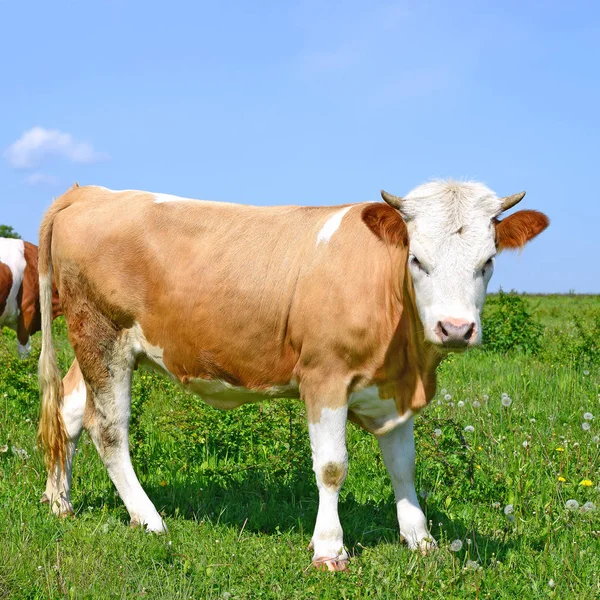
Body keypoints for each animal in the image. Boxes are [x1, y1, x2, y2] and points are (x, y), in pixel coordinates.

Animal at [36, 180, 548, 568]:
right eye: (417, 260)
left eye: (488, 262)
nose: (455, 328)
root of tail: (90, 192)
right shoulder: (325, 377)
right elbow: (332, 467)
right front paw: (329, 549)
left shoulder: (393, 391)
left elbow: (403, 466)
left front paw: (420, 539)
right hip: (102, 336)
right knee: (109, 430)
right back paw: (148, 519)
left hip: (93, 345)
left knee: (68, 411)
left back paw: (59, 501)